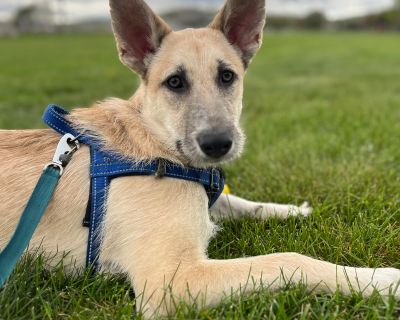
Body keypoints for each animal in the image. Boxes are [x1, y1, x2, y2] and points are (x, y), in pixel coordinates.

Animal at [0, 0, 400, 316]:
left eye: (227, 76)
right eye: (174, 82)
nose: (218, 144)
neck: (157, 145)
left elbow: (244, 203)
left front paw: (292, 210)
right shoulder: (172, 281)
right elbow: (290, 260)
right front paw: (380, 280)